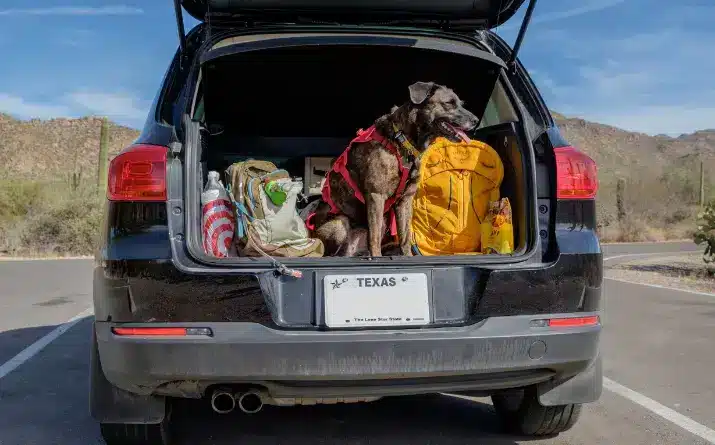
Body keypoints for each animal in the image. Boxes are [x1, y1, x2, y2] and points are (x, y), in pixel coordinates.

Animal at [314, 82, 478, 256]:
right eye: (449, 103)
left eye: (461, 103)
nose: (476, 120)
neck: (403, 140)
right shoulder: (376, 195)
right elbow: (374, 239)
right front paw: (377, 258)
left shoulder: (405, 199)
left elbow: (405, 237)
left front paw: (407, 256)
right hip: (340, 224)